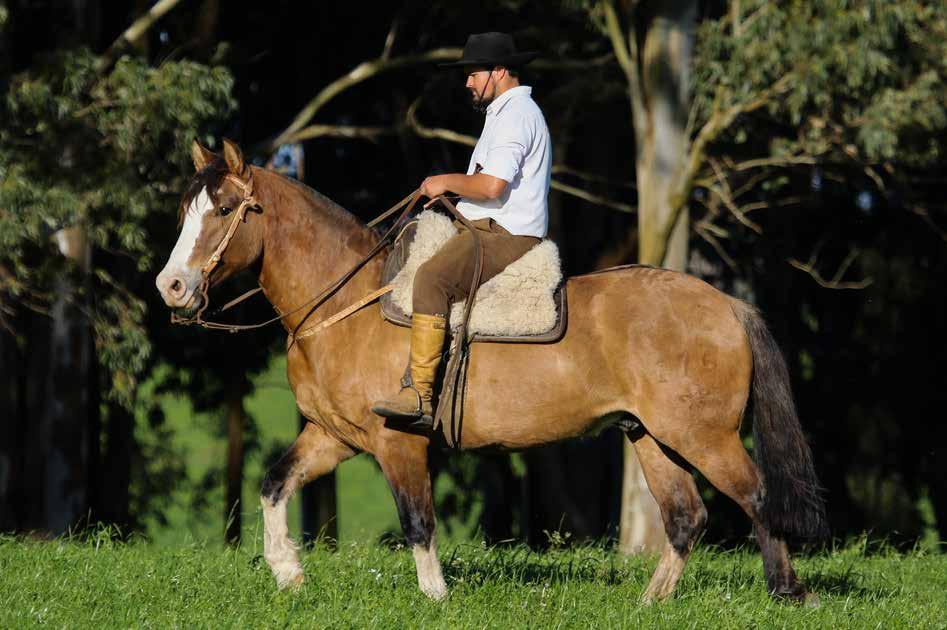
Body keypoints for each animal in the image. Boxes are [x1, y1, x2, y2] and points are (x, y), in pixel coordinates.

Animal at [154, 139, 824, 608]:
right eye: (184, 210)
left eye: (223, 209)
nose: (172, 287)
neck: (346, 303)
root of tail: (728, 304)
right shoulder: (335, 437)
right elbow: (273, 484)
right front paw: (288, 572)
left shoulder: (398, 443)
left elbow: (417, 520)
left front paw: (435, 597)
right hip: (652, 437)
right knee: (686, 517)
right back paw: (650, 602)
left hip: (704, 437)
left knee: (756, 496)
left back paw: (788, 591)